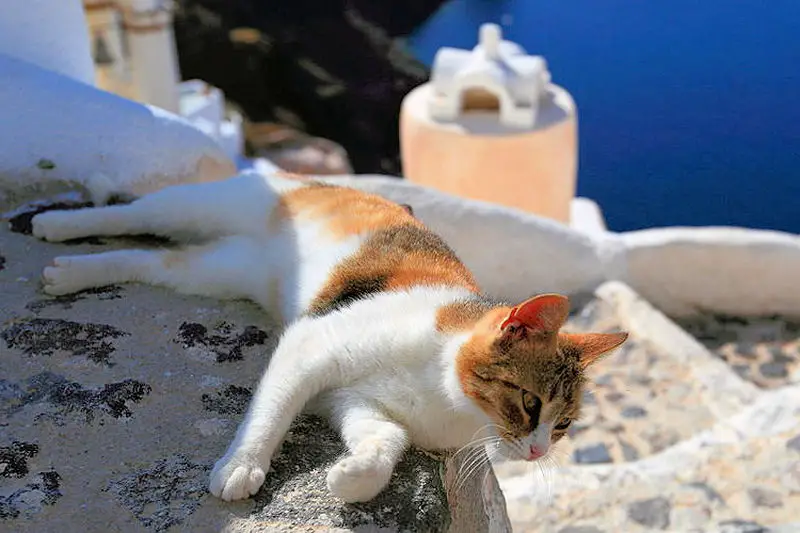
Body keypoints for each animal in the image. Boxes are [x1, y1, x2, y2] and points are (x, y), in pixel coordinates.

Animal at [31, 171, 628, 502]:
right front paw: (241, 466)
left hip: (218, 269)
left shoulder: (358, 403)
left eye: (565, 424)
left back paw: (72, 272)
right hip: (204, 206)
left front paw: (352, 478)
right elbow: (270, 412)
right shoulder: (311, 347)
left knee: (151, 260)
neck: (442, 390)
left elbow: (386, 441)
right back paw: (58, 224)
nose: (538, 450)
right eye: (530, 403)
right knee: (136, 211)